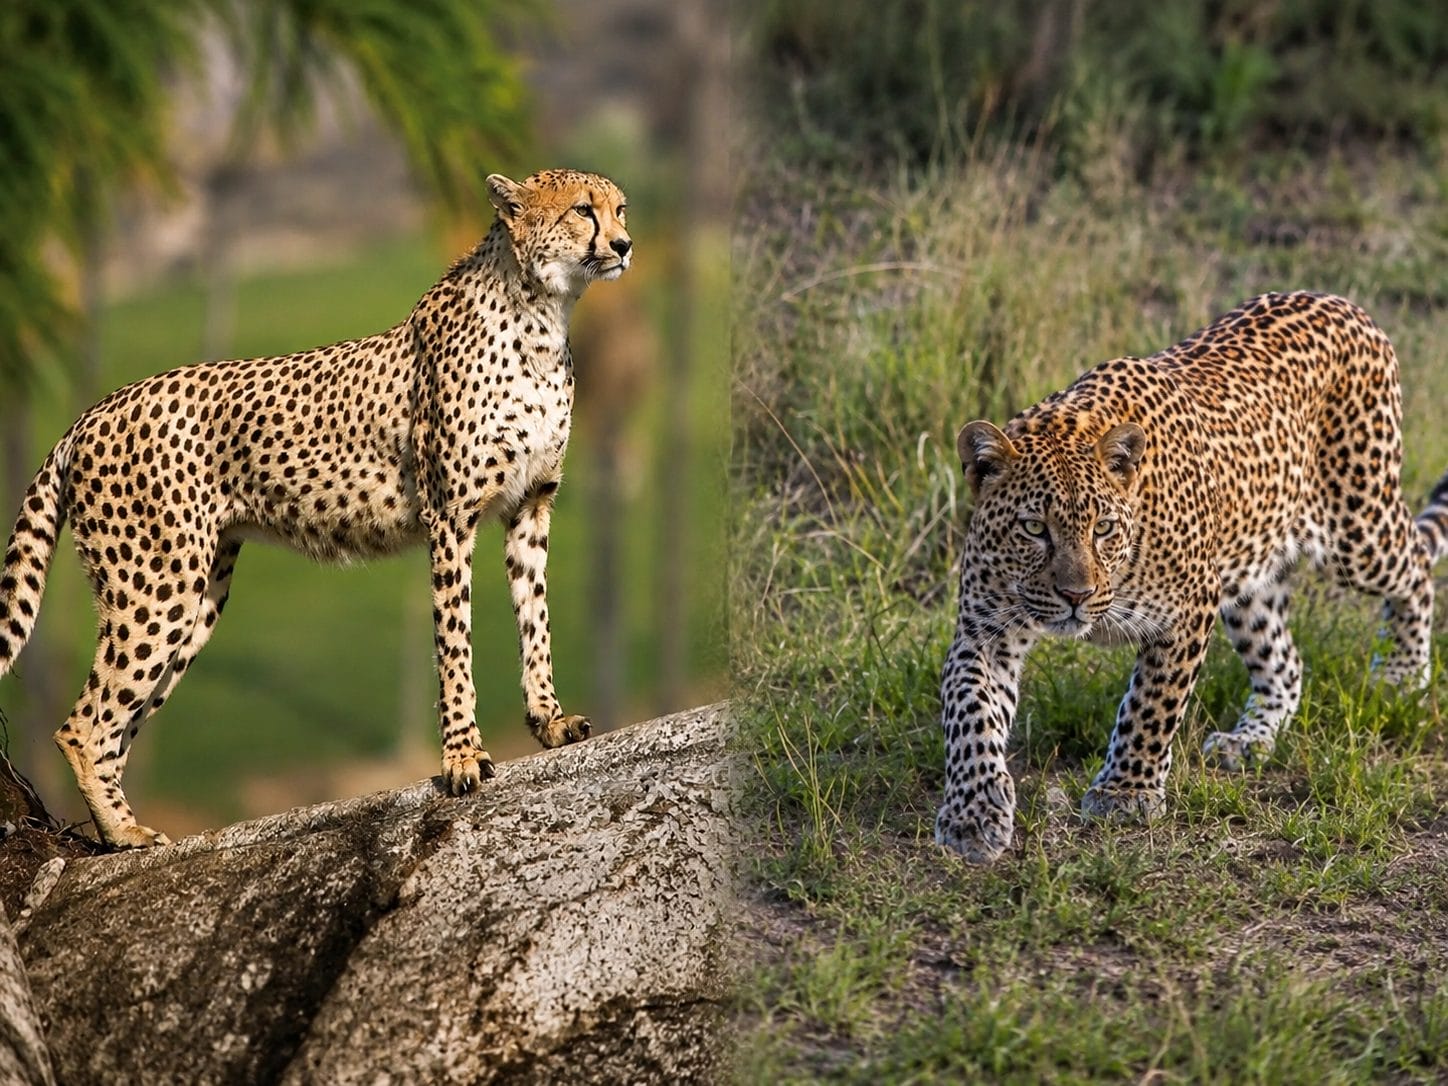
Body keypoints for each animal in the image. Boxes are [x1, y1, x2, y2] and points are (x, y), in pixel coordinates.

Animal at [0, 167, 632, 848]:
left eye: (620, 208)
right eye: (582, 211)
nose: (624, 244)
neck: (541, 314)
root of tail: (92, 411)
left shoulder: (529, 510)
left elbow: (535, 620)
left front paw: (549, 721)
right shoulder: (450, 517)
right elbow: (454, 642)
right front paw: (463, 757)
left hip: (196, 600)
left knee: (116, 728)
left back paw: (120, 830)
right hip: (155, 587)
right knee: (82, 727)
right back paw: (125, 836)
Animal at [935, 291, 1448, 863]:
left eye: (1103, 527)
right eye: (1033, 528)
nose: (1076, 596)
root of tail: (1345, 304)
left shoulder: (1188, 610)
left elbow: (1151, 705)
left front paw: (1125, 792)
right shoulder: (985, 632)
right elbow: (970, 714)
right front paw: (973, 813)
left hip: (1358, 529)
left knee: (1416, 564)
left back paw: (1401, 677)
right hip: (1252, 578)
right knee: (1284, 662)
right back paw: (1250, 739)